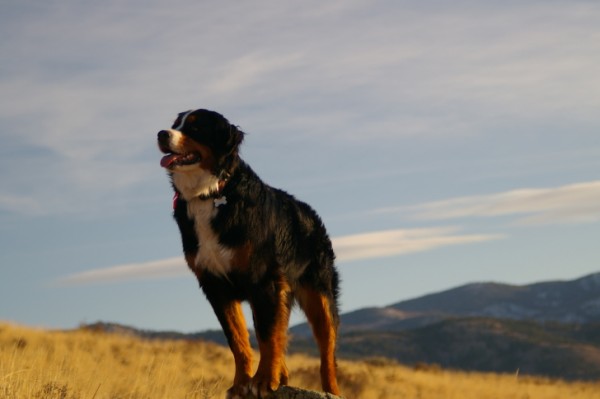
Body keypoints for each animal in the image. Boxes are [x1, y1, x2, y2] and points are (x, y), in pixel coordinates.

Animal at [157, 108, 340, 398]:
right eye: (176, 124)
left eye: (195, 128)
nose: (162, 134)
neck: (211, 195)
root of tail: (310, 212)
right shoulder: (215, 286)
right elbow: (239, 339)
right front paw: (242, 383)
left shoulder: (263, 280)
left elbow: (266, 336)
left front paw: (263, 380)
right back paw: (281, 377)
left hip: (318, 294)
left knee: (326, 350)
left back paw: (330, 388)